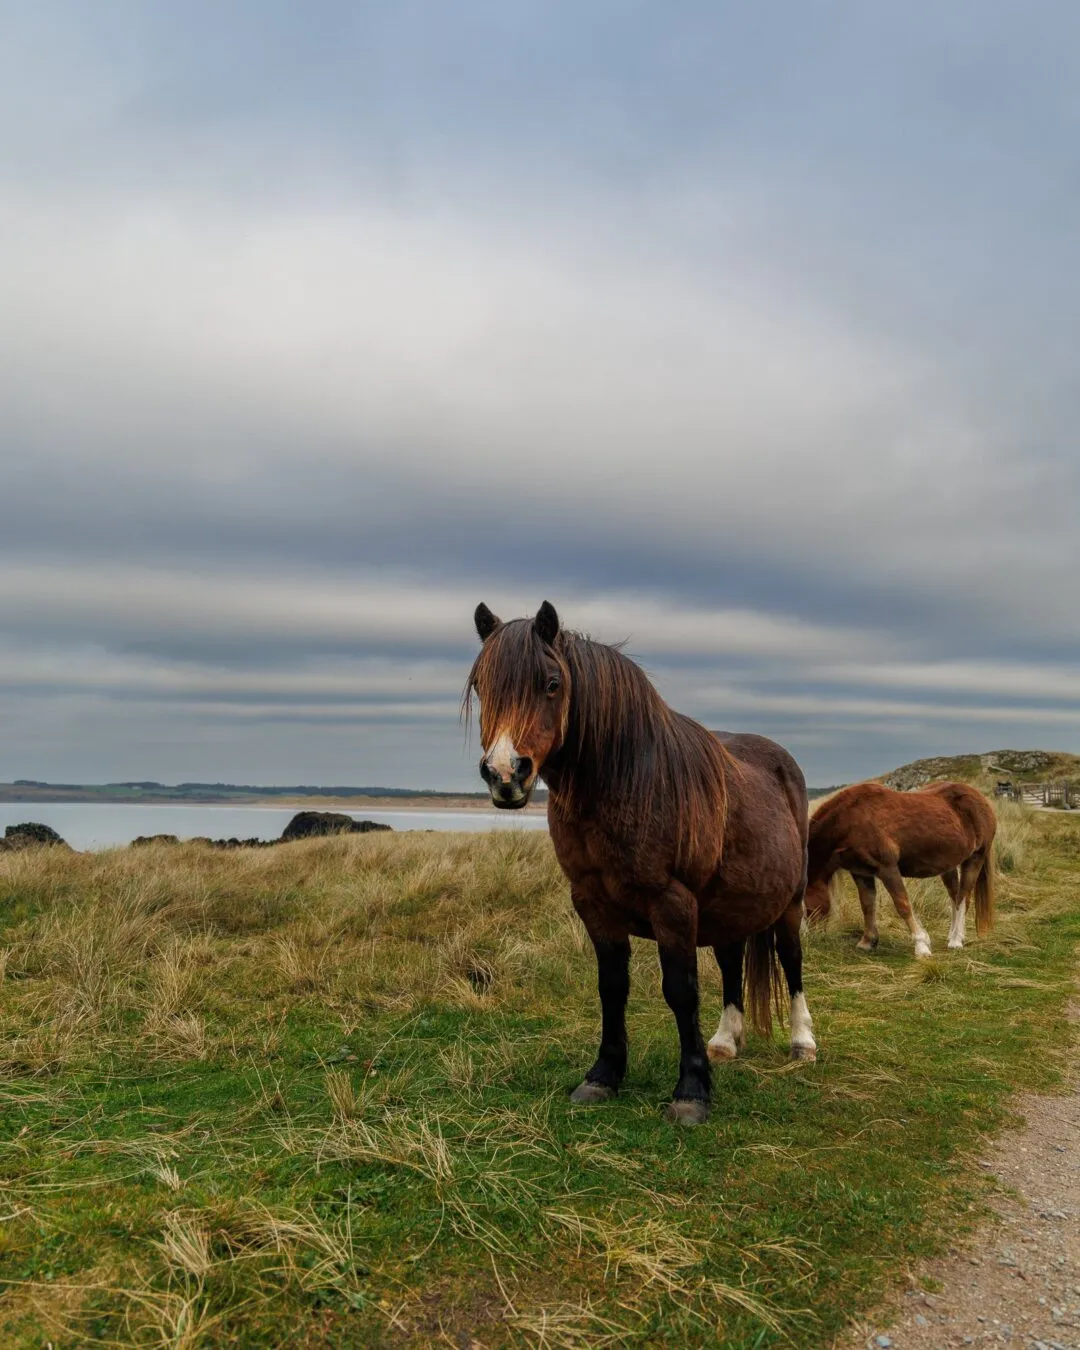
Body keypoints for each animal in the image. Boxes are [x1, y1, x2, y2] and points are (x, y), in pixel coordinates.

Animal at [465, 600, 816, 1126]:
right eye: (482, 686)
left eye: (552, 683)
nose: (505, 774)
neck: (628, 781)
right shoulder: (593, 903)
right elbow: (612, 986)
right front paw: (603, 1076)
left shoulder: (672, 903)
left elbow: (681, 990)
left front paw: (691, 1091)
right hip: (728, 906)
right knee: (732, 961)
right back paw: (726, 1040)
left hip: (789, 903)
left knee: (791, 961)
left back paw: (802, 1042)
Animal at [804, 781, 996, 956]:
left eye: (804, 903)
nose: (810, 937)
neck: (852, 819)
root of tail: (981, 799)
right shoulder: (860, 872)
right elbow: (867, 905)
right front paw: (868, 941)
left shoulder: (887, 868)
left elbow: (902, 904)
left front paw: (921, 945)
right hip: (948, 865)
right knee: (955, 897)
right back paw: (952, 936)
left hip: (975, 858)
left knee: (963, 896)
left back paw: (956, 940)